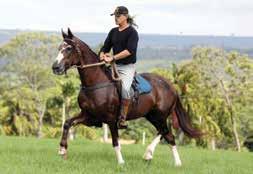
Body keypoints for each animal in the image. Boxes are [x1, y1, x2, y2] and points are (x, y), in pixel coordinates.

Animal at [51, 28, 202, 166]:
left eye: (69, 48)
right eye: (59, 48)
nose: (55, 67)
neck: (96, 82)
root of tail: (171, 86)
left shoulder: (111, 119)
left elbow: (115, 141)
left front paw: (121, 162)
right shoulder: (89, 116)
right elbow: (67, 123)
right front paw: (62, 150)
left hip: (160, 115)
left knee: (168, 135)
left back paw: (176, 162)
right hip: (152, 115)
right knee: (163, 132)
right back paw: (149, 155)